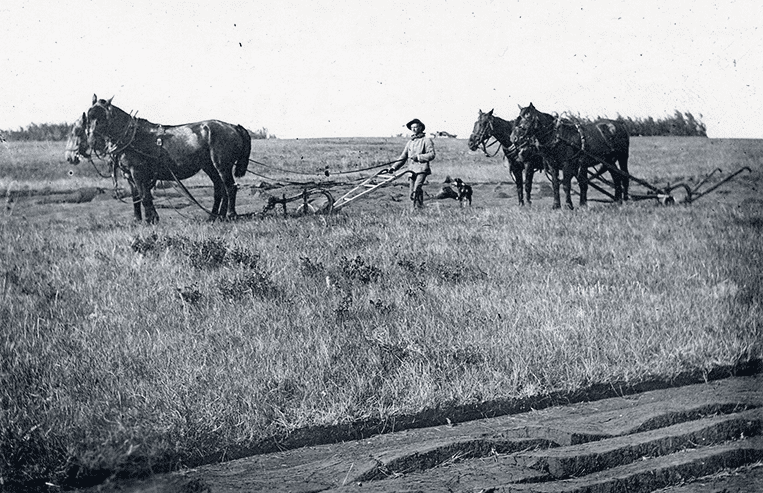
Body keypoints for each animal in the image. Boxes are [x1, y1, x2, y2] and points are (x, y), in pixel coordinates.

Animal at [83, 95, 251, 223]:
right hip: (209, 167)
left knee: (230, 187)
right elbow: (137, 197)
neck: (132, 138)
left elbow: (144, 196)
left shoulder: (137, 173)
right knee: (219, 189)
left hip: (222, 166)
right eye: (88, 116)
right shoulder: (129, 175)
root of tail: (232, 126)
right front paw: (139, 220)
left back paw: (230, 214)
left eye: (104, 117)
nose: (92, 142)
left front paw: (150, 220)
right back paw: (215, 216)